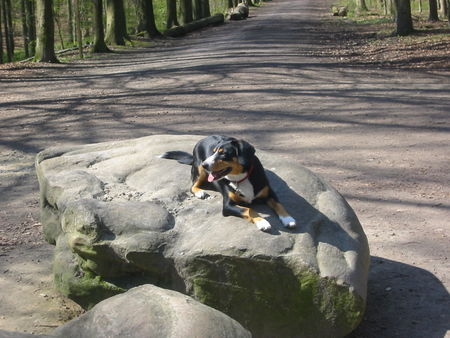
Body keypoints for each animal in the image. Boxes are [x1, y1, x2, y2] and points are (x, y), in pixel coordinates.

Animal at [160, 135, 298, 232]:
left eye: (223, 153)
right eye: (213, 152)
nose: (205, 164)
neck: (241, 177)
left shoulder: (268, 193)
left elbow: (279, 204)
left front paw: (288, 218)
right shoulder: (228, 205)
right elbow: (249, 209)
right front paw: (262, 222)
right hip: (199, 170)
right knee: (193, 185)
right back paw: (200, 192)